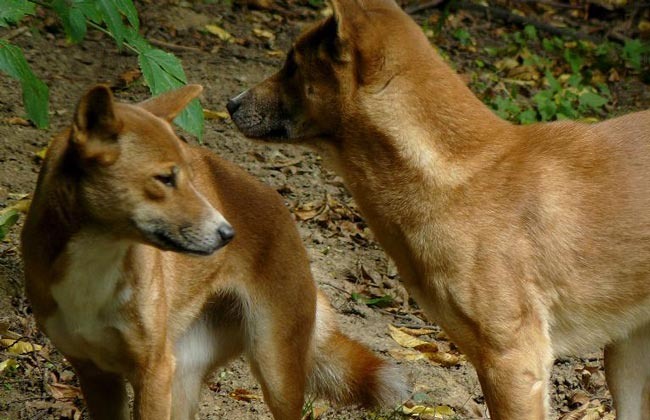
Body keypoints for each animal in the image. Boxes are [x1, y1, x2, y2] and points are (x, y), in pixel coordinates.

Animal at [21, 83, 404, 418]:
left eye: (191, 178)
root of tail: (282, 210)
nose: (227, 234)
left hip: (274, 373)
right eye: (165, 179)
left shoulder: (153, 371)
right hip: (183, 376)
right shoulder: (96, 374)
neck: (95, 267)